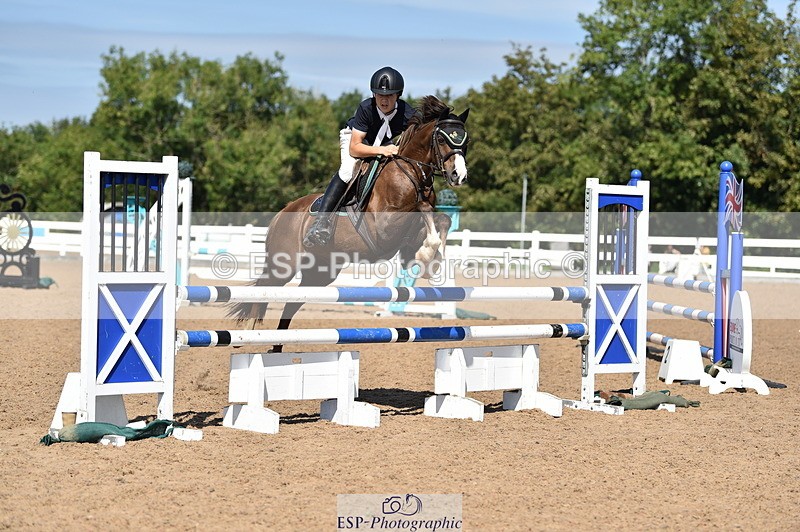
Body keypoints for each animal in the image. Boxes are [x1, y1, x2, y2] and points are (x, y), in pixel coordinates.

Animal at [229, 95, 470, 351]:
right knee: (264, 288)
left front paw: (430, 260)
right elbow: (423, 209)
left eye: (465, 140)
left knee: (290, 302)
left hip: (320, 273)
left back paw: (277, 346)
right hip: (284, 264)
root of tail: (284, 211)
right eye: (442, 139)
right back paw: (247, 334)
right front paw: (428, 255)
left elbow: (441, 219)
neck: (410, 173)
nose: (459, 175)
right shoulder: (385, 227)